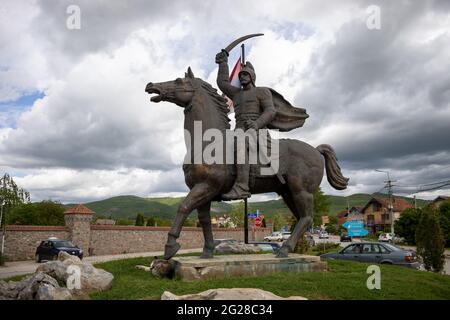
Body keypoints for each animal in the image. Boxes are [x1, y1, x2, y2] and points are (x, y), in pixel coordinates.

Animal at [144, 67, 348, 260]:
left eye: (178, 80)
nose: (151, 85)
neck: (207, 142)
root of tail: (315, 150)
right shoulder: (203, 191)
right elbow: (204, 220)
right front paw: (207, 251)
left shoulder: (206, 187)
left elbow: (183, 207)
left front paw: (170, 247)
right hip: (288, 192)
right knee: (302, 219)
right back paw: (287, 249)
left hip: (302, 191)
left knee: (306, 218)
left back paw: (284, 250)